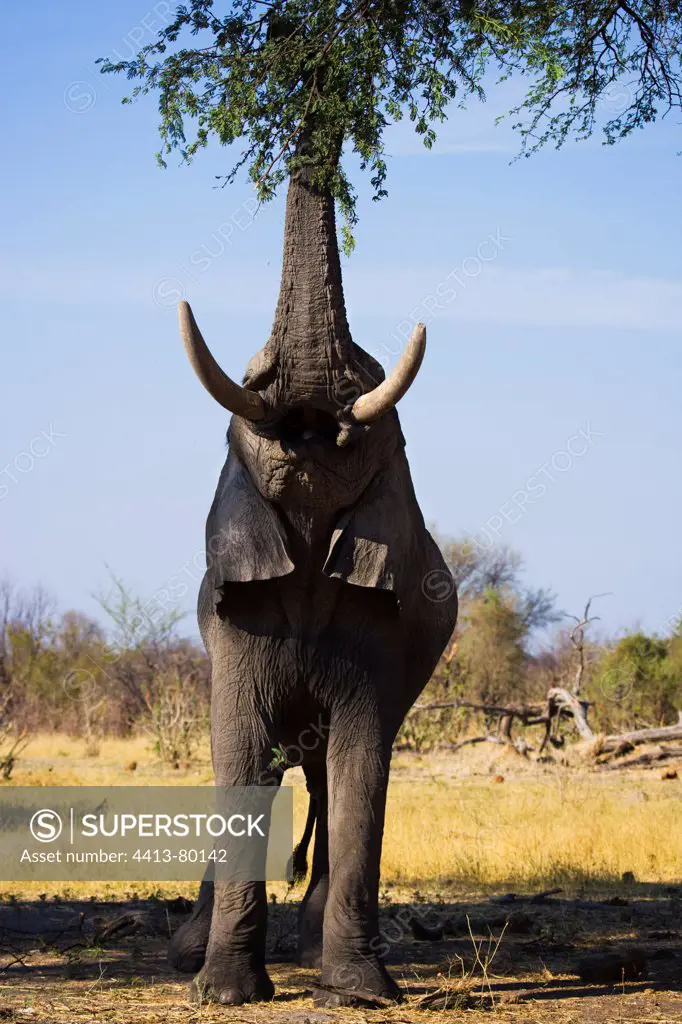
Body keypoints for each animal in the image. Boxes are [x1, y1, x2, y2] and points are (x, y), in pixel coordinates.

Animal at [165, 148, 456, 1003]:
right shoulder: (234, 618)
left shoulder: (383, 630)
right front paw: (223, 992)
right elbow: (238, 750)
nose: (310, 422)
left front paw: (358, 990)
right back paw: (191, 951)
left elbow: (362, 765)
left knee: (329, 773)